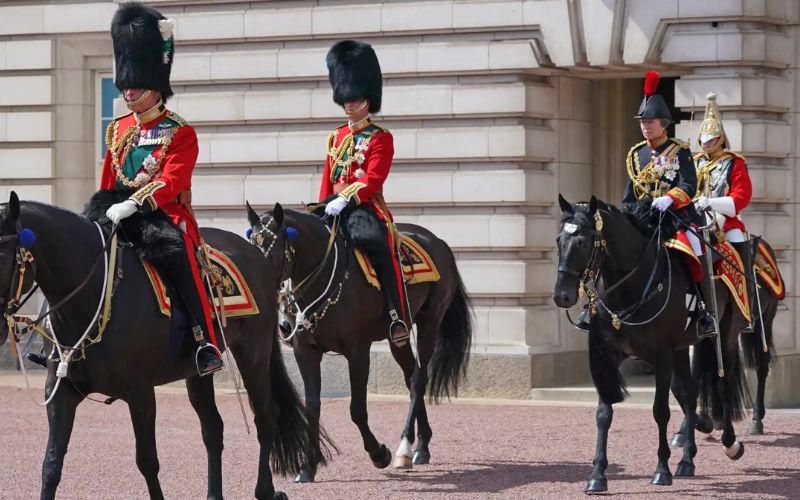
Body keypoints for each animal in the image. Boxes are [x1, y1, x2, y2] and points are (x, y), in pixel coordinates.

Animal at [0, 192, 328, 500]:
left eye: (3, 258)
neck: (95, 295)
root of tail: (255, 254)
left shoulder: (140, 392)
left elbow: (147, 461)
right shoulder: (61, 391)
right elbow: (51, 464)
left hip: (253, 354)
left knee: (266, 416)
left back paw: (265, 489)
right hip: (198, 370)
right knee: (213, 427)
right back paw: (213, 494)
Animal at [246, 202, 472, 482]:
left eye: (273, 254)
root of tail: (438, 241)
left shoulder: (358, 350)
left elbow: (357, 409)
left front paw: (379, 454)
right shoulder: (306, 351)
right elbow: (312, 406)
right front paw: (308, 466)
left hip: (429, 322)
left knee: (419, 379)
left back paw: (404, 448)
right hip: (398, 337)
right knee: (411, 377)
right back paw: (421, 446)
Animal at [553, 195, 749, 494]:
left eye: (583, 242)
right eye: (558, 240)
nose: (562, 296)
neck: (629, 287)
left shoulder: (661, 358)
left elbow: (660, 411)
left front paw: (661, 470)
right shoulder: (608, 357)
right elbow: (603, 413)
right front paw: (597, 475)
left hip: (724, 335)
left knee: (723, 382)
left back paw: (730, 442)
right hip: (681, 348)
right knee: (689, 393)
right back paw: (687, 460)